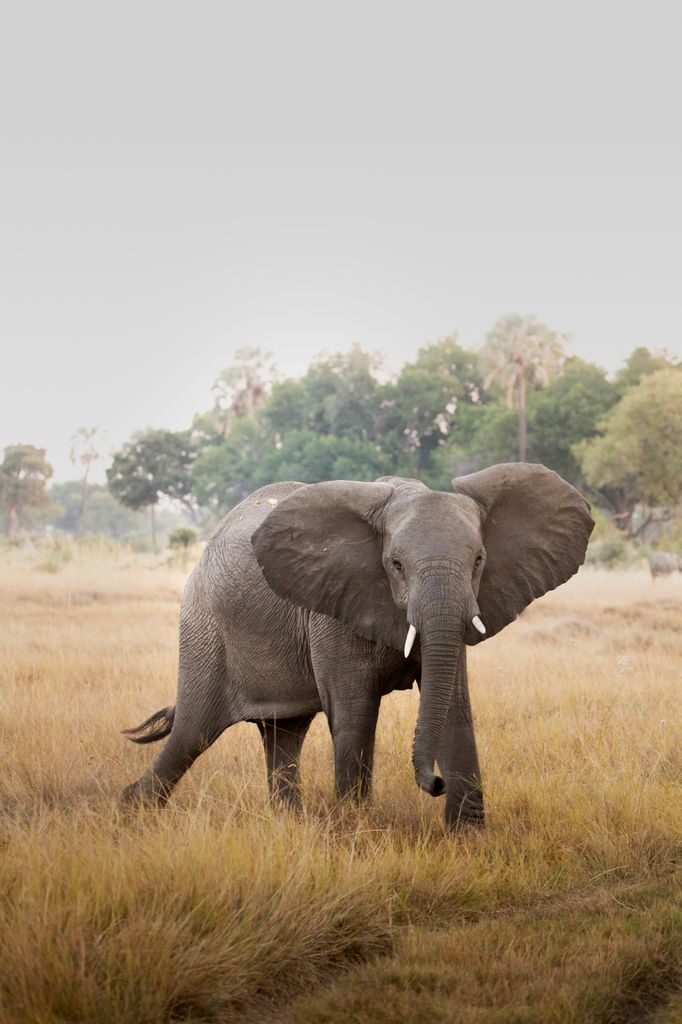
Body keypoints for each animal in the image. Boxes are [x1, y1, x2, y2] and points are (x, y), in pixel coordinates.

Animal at [121, 463, 593, 829]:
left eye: (479, 561)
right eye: (396, 565)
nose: (435, 784)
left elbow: (455, 706)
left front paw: (469, 839)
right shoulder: (332, 607)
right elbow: (355, 712)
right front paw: (356, 830)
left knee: (282, 733)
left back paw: (289, 823)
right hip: (203, 629)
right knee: (193, 732)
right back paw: (130, 813)